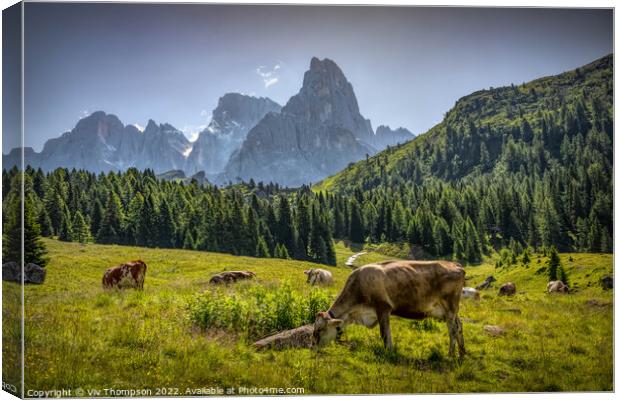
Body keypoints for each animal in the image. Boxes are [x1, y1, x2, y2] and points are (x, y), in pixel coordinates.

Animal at [314, 260, 464, 360]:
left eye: (320, 329)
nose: (313, 346)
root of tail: (456, 265)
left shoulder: (383, 308)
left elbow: (385, 334)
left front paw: (389, 352)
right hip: (451, 311)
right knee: (459, 326)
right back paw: (462, 353)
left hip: (450, 308)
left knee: (453, 330)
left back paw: (450, 355)